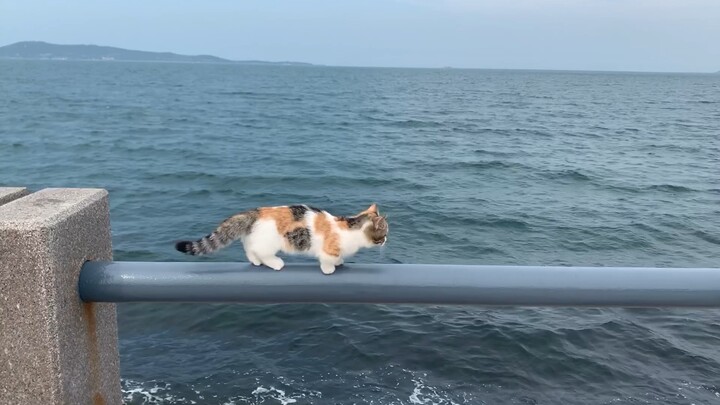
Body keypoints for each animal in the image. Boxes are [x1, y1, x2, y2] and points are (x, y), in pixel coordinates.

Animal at [175, 202, 388, 274]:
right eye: (385, 232)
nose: (386, 240)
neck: (351, 227)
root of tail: (256, 212)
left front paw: (340, 262)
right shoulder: (329, 248)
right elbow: (328, 259)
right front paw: (330, 268)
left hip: (255, 237)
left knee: (249, 248)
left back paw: (256, 261)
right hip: (270, 242)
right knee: (261, 252)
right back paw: (275, 263)